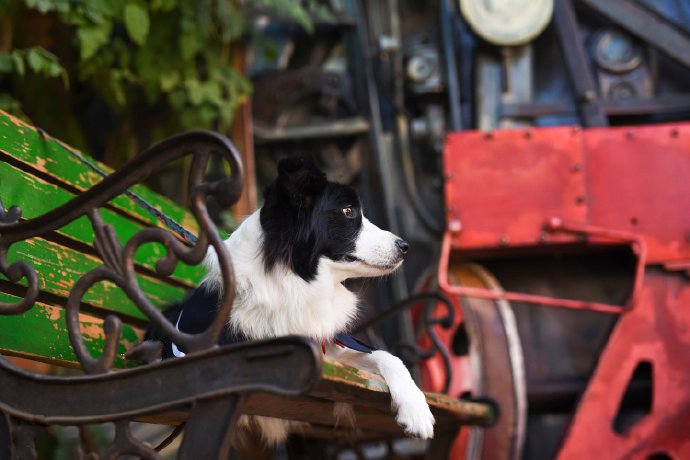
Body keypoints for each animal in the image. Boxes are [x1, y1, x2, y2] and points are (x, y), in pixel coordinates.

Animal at [158, 157, 432, 442]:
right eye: (347, 211)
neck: (297, 281)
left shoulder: (332, 351)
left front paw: (417, 411)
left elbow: (387, 356)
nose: (405, 246)